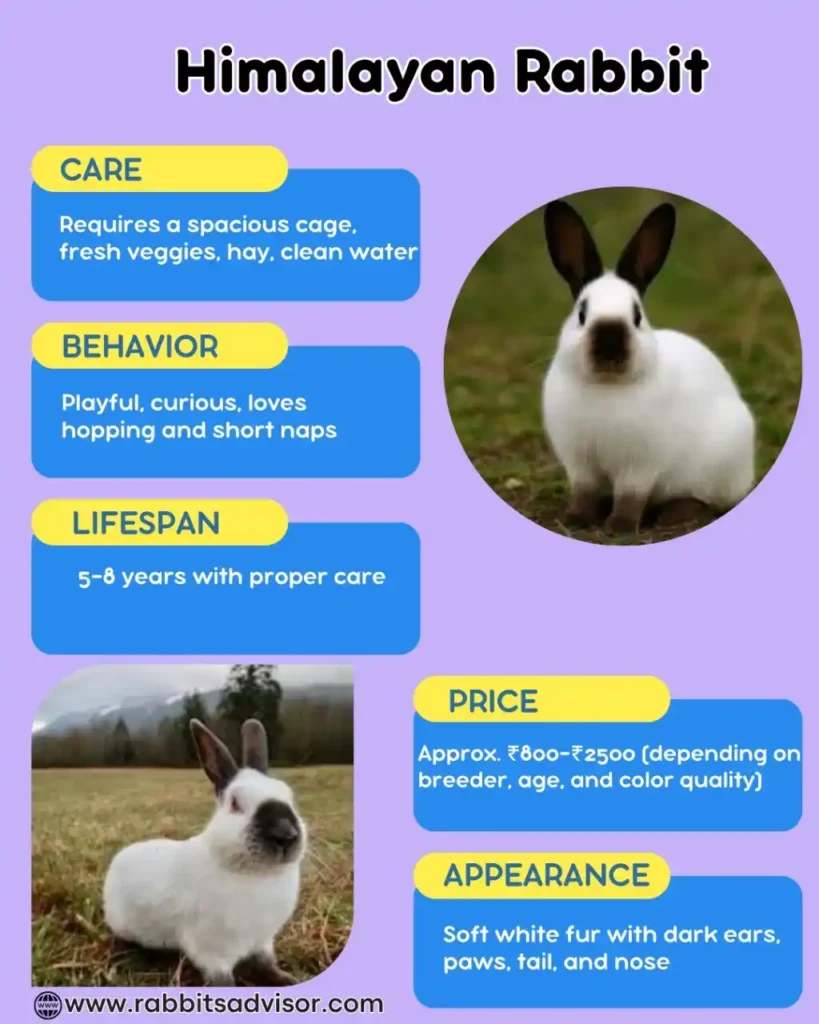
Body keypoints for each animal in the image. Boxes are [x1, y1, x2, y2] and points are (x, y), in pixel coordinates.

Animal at [103, 719, 306, 987]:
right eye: (235, 803)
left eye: (289, 795)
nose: (285, 834)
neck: (255, 874)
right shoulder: (212, 953)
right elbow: (224, 981)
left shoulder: (263, 942)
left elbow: (267, 965)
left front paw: (288, 979)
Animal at [542, 198, 755, 534]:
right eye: (582, 313)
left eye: (637, 315)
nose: (610, 347)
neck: (607, 386)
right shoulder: (580, 462)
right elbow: (583, 491)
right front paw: (575, 519)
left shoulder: (640, 464)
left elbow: (631, 497)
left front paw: (620, 527)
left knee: (705, 500)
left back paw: (677, 514)